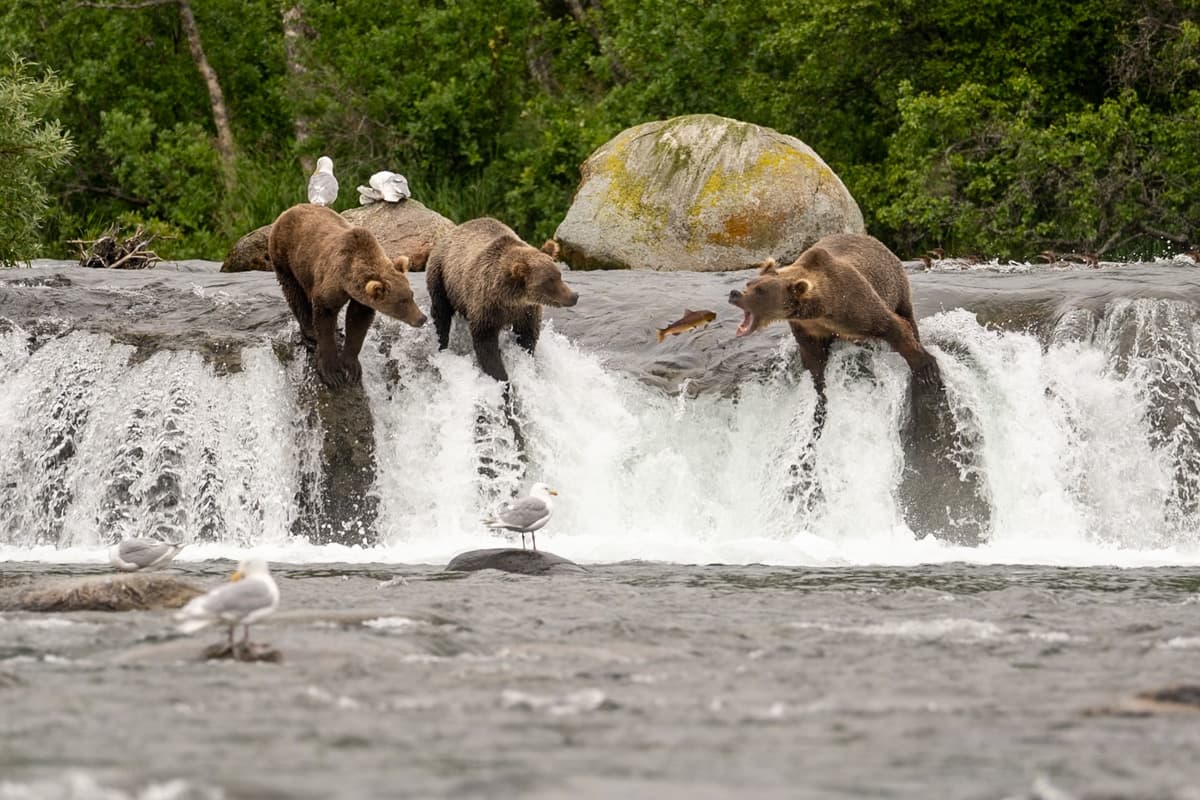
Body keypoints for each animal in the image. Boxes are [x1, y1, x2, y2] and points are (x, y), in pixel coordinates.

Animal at [267, 203, 427, 387]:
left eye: (411, 295)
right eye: (401, 301)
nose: (422, 318)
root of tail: (289, 210)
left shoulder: (362, 299)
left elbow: (357, 322)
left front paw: (351, 368)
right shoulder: (331, 282)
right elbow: (325, 316)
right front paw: (332, 373)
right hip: (285, 257)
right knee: (294, 293)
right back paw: (310, 332)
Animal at [425, 217, 579, 382]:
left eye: (559, 275)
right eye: (549, 281)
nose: (574, 296)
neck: (510, 298)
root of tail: (452, 231)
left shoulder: (526, 311)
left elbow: (527, 337)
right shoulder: (486, 307)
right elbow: (486, 345)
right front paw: (503, 379)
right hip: (441, 276)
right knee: (441, 313)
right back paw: (441, 344)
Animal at [728, 233, 940, 395]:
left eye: (761, 290)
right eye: (750, 283)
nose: (734, 293)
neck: (822, 309)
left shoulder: (853, 305)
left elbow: (892, 325)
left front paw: (927, 370)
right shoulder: (807, 327)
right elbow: (813, 355)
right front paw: (818, 382)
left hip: (896, 285)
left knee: (906, 314)